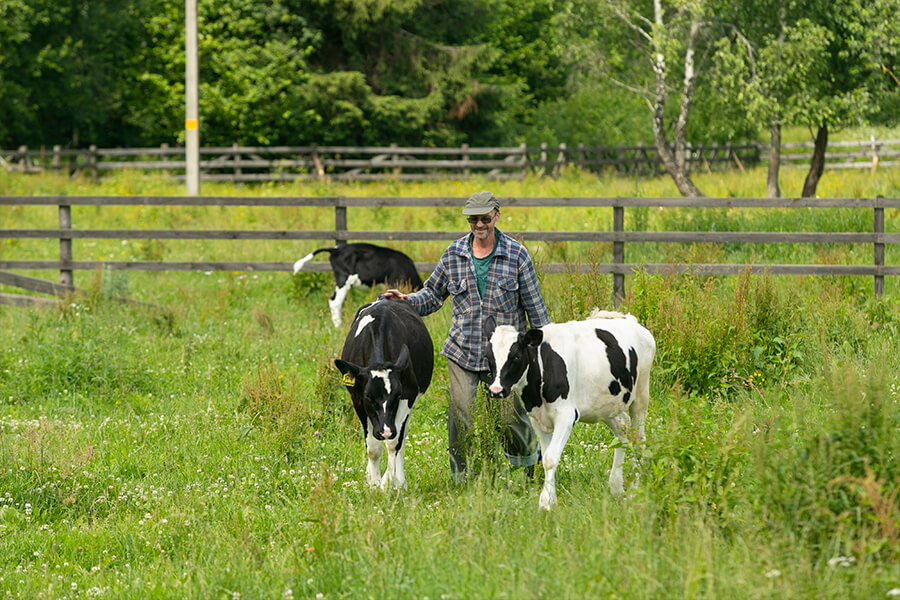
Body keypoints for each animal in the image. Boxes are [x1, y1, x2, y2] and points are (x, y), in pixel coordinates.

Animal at [294, 243, 424, 328]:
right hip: (344, 279)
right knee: (336, 302)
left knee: (332, 300)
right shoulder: (394, 282)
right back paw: (338, 326)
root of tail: (335, 249)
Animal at [334, 298, 432, 490]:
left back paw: (399, 480)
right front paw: (373, 484)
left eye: (396, 395)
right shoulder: (357, 399)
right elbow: (373, 447)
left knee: (401, 437)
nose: (385, 431)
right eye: (368, 396)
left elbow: (394, 443)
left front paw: (388, 482)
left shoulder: (408, 396)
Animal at [486, 310, 652, 510]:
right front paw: (550, 500)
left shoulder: (566, 415)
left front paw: (546, 503)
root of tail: (630, 320)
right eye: (488, 357)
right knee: (624, 434)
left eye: (516, 356)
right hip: (609, 406)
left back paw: (635, 487)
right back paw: (616, 486)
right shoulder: (537, 418)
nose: (496, 390)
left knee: (638, 439)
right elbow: (546, 459)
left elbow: (550, 459)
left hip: (641, 395)